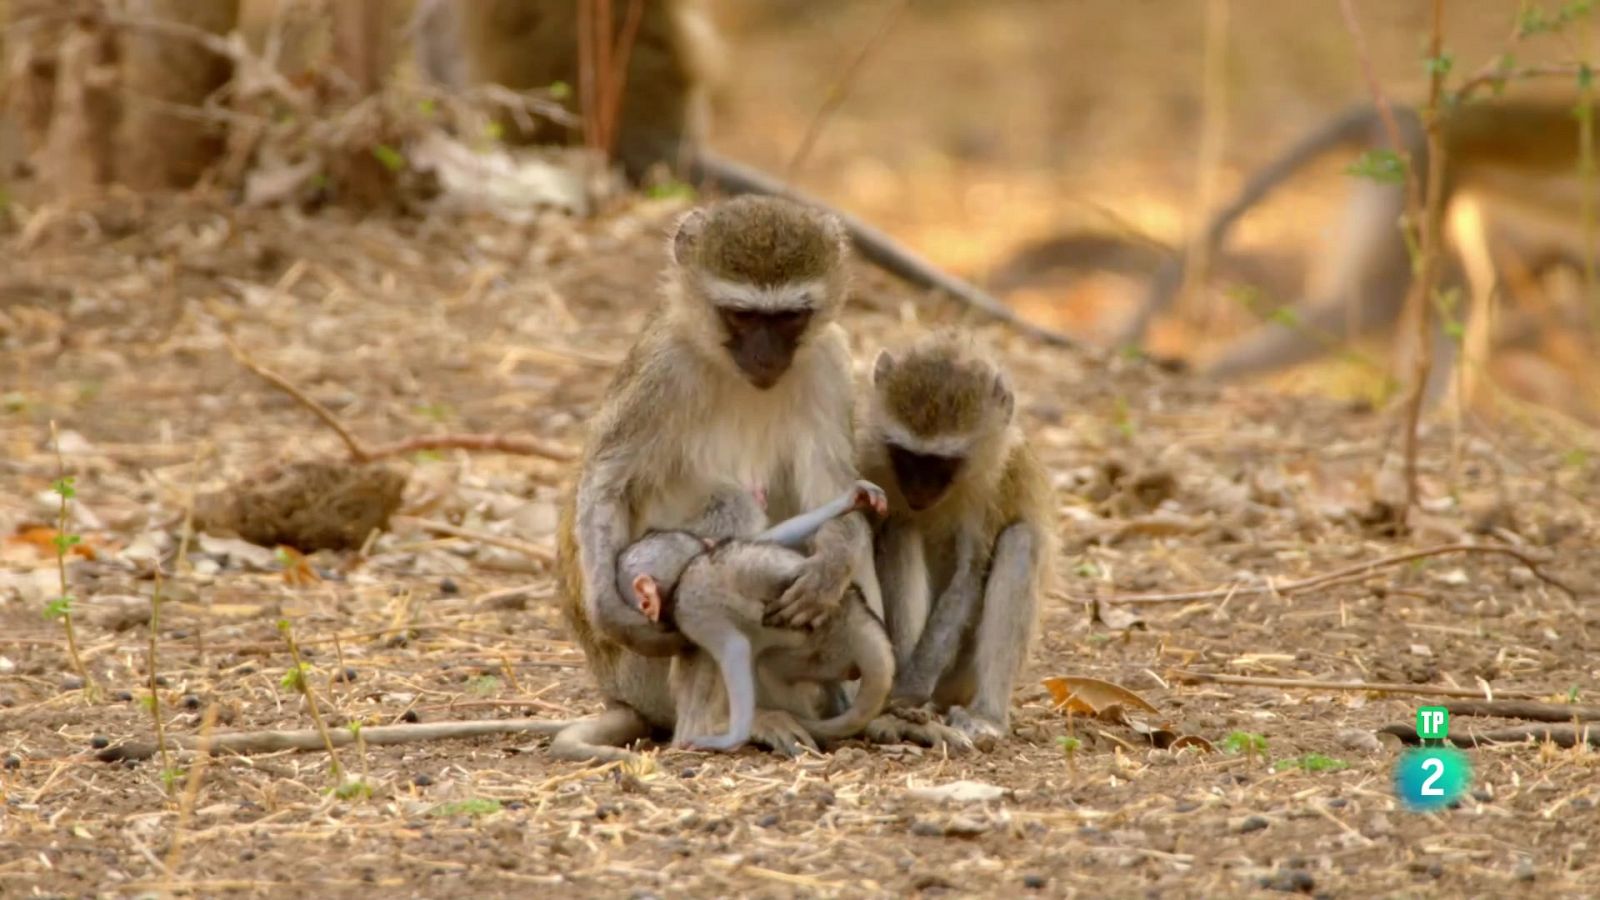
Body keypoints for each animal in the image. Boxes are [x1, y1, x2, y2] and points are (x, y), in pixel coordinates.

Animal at [614, 480, 896, 746]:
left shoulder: (691, 610)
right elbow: (771, 538)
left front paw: (732, 737)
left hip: (824, 653)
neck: (687, 568)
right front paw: (851, 499)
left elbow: (735, 648)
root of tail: (860, 618)